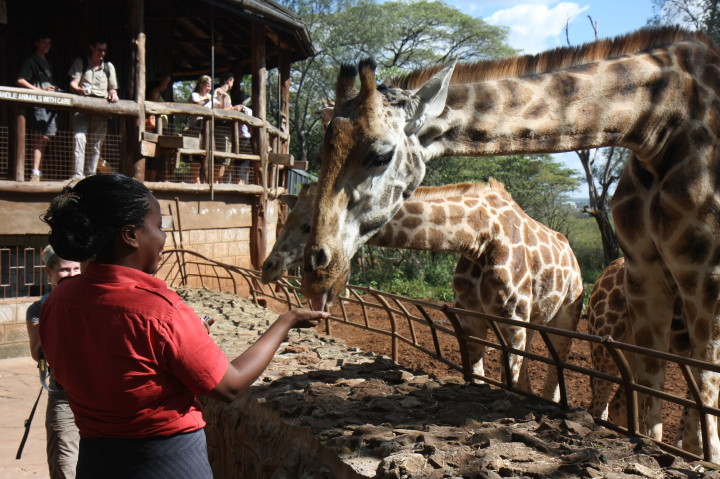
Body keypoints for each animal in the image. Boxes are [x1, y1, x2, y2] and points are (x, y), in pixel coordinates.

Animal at [264, 181, 583, 400]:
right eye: (288, 220)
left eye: (307, 226)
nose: (269, 265)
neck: (478, 238)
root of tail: (573, 255)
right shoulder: (471, 317)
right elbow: (478, 376)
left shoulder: (512, 316)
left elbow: (510, 379)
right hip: (536, 319)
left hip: (565, 314)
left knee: (557, 361)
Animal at [301, 27, 720, 460]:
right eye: (322, 152)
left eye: (381, 154)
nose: (317, 270)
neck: (656, 122)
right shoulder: (640, 270)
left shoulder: (705, 270)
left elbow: (704, 384)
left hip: (570, 316)